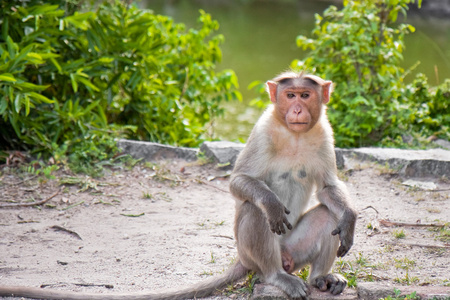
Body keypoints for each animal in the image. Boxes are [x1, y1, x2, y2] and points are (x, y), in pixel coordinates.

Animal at [0, 71, 356, 298]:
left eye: (306, 95)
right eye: (290, 94)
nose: (296, 109)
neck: (294, 134)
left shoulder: (325, 134)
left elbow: (327, 189)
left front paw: (350, 220)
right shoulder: (263, 129)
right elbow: (239, 181)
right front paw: (269, 202)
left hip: (294, 250)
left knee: (327, 215)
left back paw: (321, 277)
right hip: (253, 253)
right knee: (253, 212)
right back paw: (276, 275)